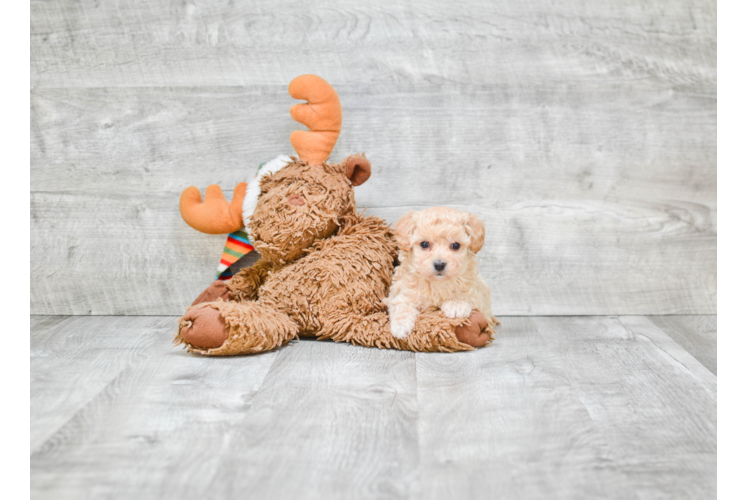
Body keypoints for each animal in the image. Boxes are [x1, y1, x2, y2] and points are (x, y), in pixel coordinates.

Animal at [386, 205, 496, 338]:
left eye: (455, 245)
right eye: (424, 244)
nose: (439, 265)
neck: (438, 283)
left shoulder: (478, 295)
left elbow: (466, 294)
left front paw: (456, 304)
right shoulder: (404, 292)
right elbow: (402, 305)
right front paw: (400, 326)